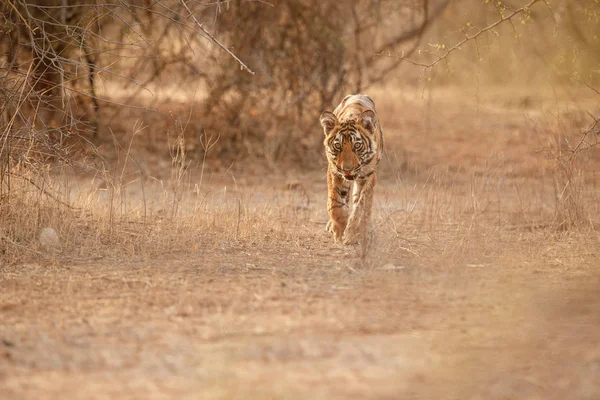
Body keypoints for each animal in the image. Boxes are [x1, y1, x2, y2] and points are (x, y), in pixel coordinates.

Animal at [318, 94, 384, 244]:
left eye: (357, 146)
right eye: (338, 146)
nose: (347, 169)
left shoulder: (368, 176)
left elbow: (361, 206)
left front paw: (353, 233)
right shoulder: (335, 172)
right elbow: (335, 203)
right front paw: (339, 230)